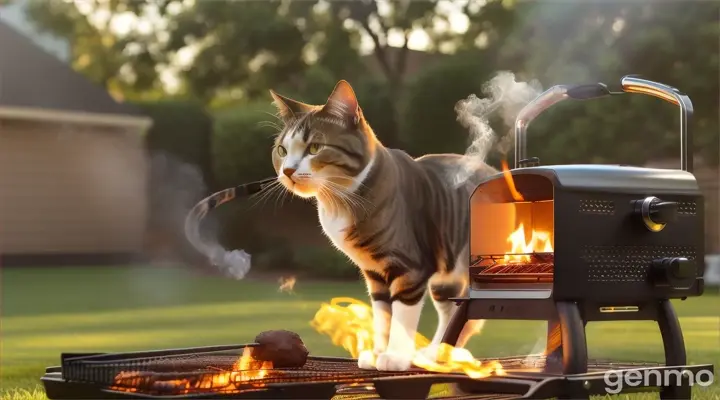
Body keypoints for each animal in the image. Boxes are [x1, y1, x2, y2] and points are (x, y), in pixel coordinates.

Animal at [268, 80, 498, 372]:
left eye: (314, 148)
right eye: (282, 150)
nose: (287, 171)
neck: (339, 202)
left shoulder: (410, 268)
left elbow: (401, 316)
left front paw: (395, 356)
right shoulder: (374, 273)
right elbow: (383, 316)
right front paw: (378, 352)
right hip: (446, 277)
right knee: (456, 316)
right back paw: (437, 353)